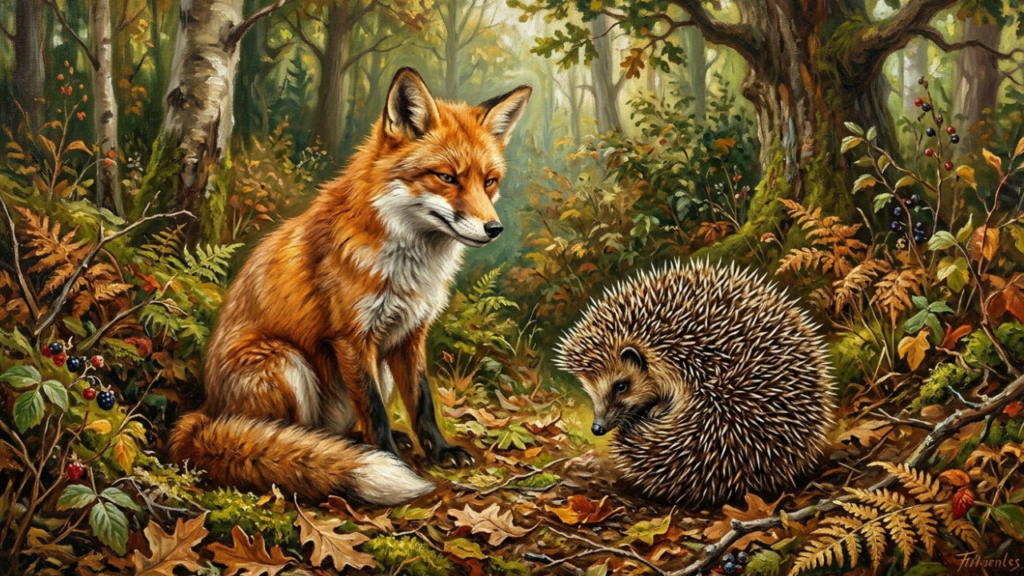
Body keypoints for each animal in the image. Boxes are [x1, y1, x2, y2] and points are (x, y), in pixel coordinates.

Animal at [169, 68, 531, 506]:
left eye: (490, 181)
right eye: (447, 178)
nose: (494, 229)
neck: (408, 268)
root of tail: (206, 409)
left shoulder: (411, 334)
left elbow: (422, 404)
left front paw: (440, 451)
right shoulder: (352, 336)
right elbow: (375, 411)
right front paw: (389, 457)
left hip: (372, 365)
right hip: (286, 363)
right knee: (284, 435)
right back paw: (324, 453)